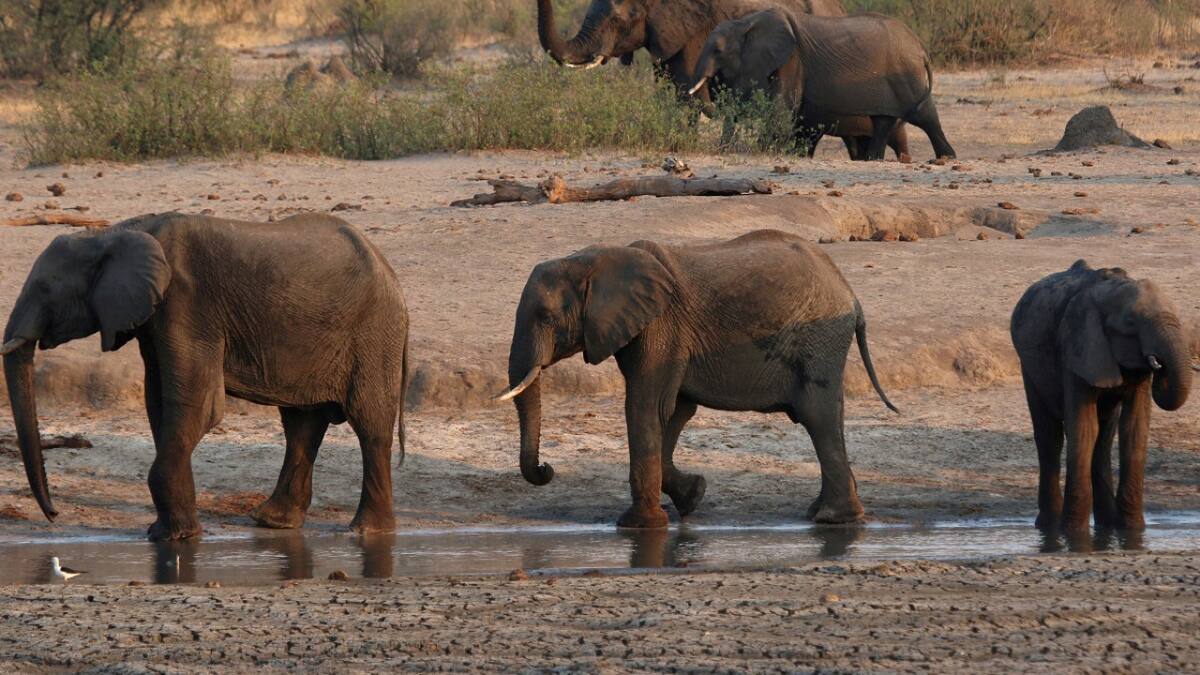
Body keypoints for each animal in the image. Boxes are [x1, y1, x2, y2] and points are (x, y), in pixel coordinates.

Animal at [1, 213, 409, 541]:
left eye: (45, 289)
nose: (54, 514)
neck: (116, 232)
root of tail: (390, 272)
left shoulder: (187, 304)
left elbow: (198, 406)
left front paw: (174, 538)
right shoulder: (155, 317)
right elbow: (159, 403)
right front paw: (166, 532)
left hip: (374, 334)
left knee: (369, 425)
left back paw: (367, 531)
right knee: (301, 424)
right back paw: (272, 522)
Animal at [497, 229, 897, 529]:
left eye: (545, 316)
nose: (547, 469)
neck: (597, 259)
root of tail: (851, 294)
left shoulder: (661, 328)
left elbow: (646, 407)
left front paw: (638, 525)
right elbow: (675, 412)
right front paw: (693, 496)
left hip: (820, 340)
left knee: (818, 415)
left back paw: (832, 518)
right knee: (830, 415)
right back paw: (825, 513)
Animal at [690, 9, 956, 160]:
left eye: (718, 50)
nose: (722, 150)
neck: (745, 23)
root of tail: (920, 48)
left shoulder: (793, 59)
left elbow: (782, 107)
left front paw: (764, 151)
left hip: (906, 76)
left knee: (923, 115)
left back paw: (947, 157)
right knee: (884, 120)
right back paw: (874, 159)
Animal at [1011, 260, 1192, 533]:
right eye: (1130, 321)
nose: (1162, 367)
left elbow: (1134, 428)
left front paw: (1132, 530)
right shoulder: (1077, 349)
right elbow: (1084, 428)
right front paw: (1073, 533)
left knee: (1104, 437)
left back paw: (1106, 524)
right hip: (1029, 368)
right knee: (1050, 437)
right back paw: (1049, 526)